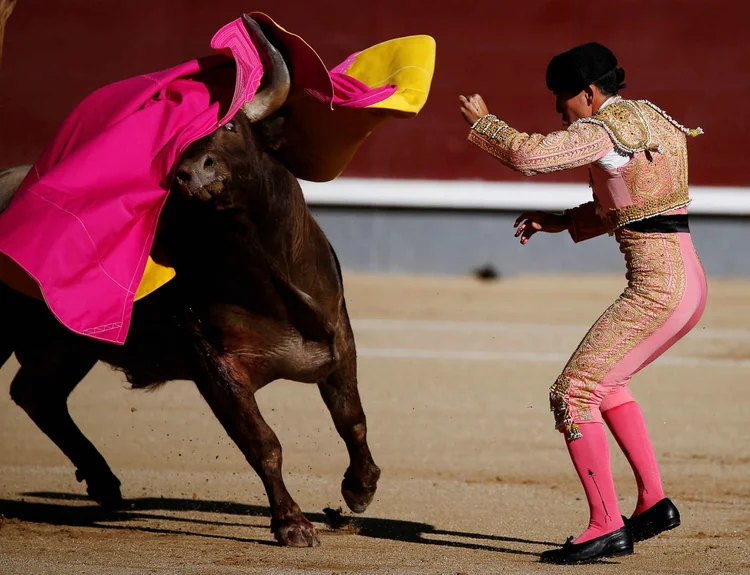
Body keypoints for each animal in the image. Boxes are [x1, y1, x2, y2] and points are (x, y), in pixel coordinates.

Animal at [0, 15, 382, 548]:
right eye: (176, 145)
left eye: (231, 126)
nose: (191, 173)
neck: (268, 279)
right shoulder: (212, 362)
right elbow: (263, 441)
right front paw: (293, 524)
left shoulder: (338, 339)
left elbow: (353, 419)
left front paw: (359, 489)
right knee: (35, 393)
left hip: (67, 344)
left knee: (37, 393)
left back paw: (105, 484)